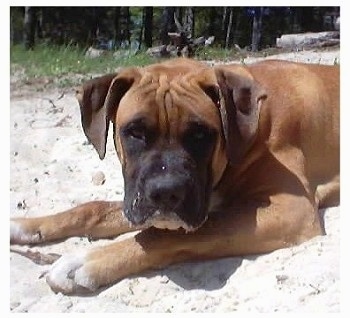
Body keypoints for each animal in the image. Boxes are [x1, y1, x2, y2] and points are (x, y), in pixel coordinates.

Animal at [10, 57, 340, 296]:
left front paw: (87, 261)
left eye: (200, 135)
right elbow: (94, 209)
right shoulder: (140, 203)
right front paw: (27, 225)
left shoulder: (290, 210)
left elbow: (165, 234)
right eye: (134, 132)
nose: (165, 192)